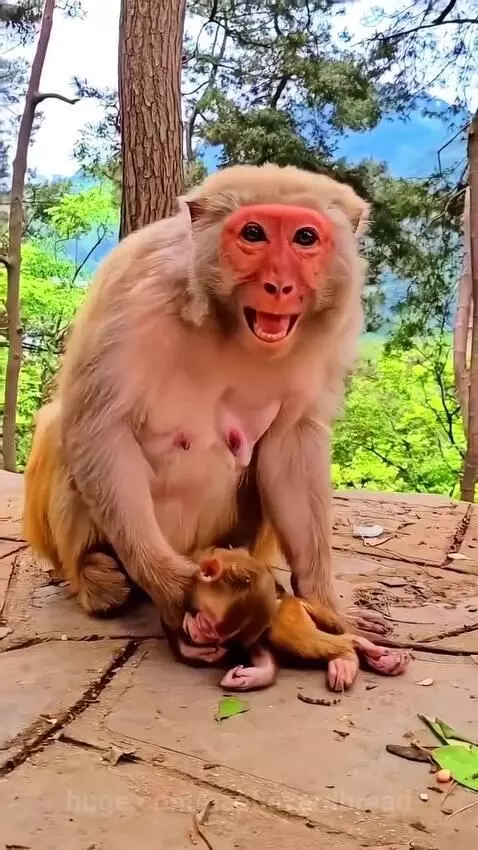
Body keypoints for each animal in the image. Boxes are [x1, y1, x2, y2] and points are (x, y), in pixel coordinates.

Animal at [166, 546, 410, 693]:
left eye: (207, 625)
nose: (197, 635)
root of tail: (298, 601)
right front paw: (253, 676)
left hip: (291, 613)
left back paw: (354, 650)